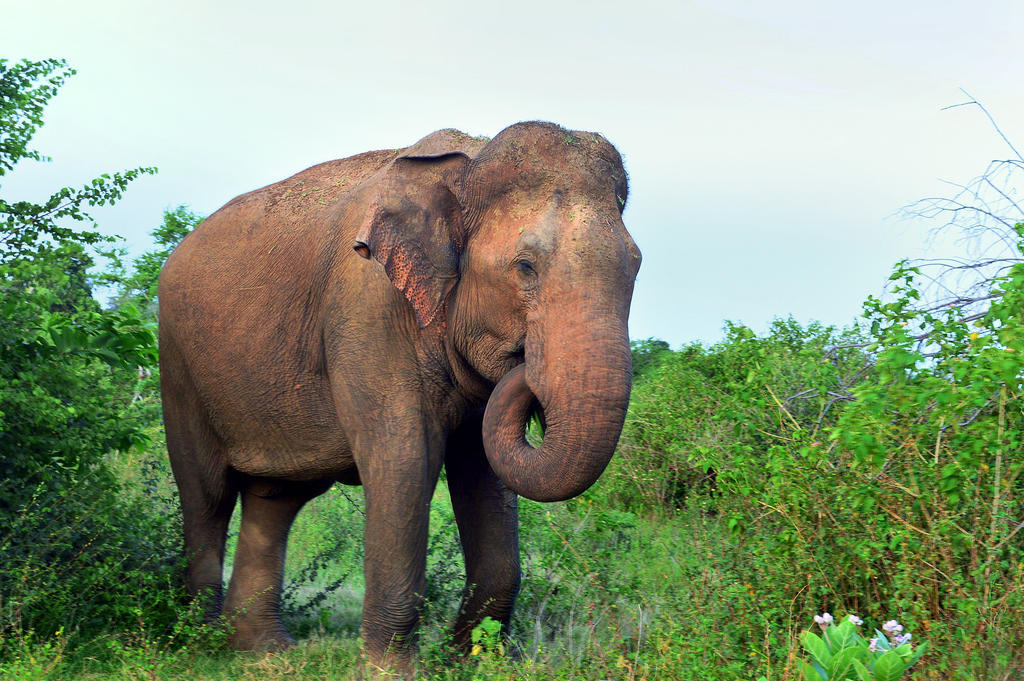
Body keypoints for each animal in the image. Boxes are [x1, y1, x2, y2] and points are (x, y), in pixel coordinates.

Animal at [157, 119, 638, 671]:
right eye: (525, 266)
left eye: (636, 267)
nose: (526, 365)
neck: (467, 165)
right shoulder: (368, 310)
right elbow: (405, 458)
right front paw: (391, 671)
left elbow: (484, 471)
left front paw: (467, 663)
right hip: (179, 363)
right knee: (207, 494)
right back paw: (202, 644)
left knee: (275, 498)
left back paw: (261, 653)